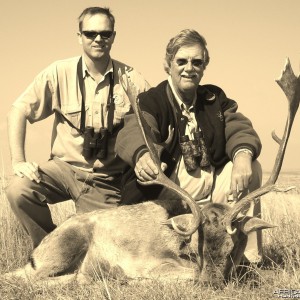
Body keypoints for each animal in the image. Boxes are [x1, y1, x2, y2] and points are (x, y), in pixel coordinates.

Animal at [2, 58, 300, 286]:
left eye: (232, 248)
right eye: (199, 247)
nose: (211, 283)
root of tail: (35, 253)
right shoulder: (152, 261)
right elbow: (182, 273)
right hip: (67, 243)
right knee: (28, 277)